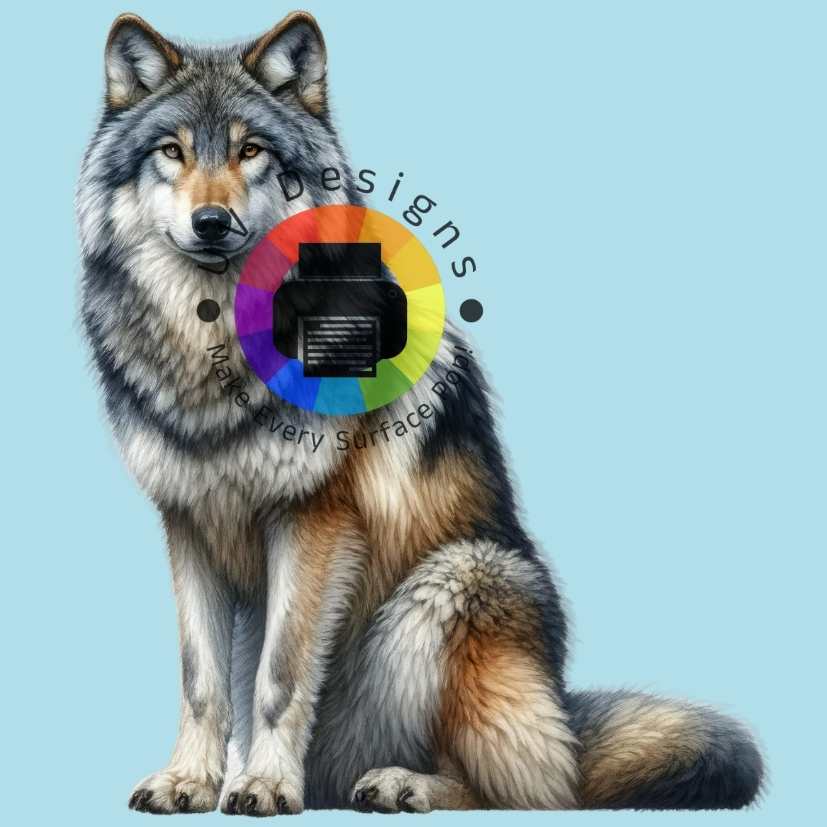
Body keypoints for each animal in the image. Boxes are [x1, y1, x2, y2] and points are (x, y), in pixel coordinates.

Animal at [76, 11, 763, 815]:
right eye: (172, 151)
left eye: (251, 150)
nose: (211, 222)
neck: (215, 345)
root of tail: (566, 717)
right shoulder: (186, 522)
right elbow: (201, 679)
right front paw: (188, 781)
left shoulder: (315, 519)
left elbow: (280, 675)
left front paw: (267, 786)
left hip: (454, 579)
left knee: (532, 790)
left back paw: (401, 784)